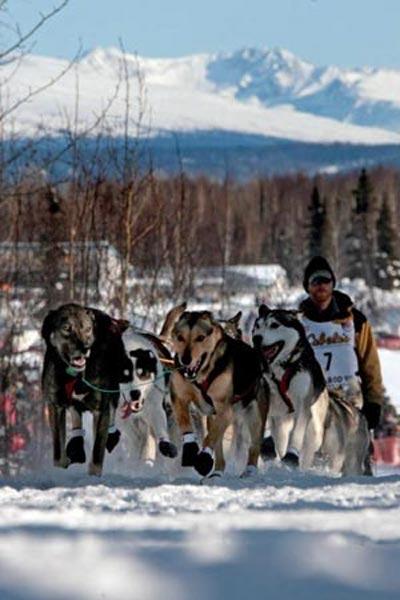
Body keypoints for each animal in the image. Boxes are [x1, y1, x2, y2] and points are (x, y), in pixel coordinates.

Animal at [41, 304, 128, 478]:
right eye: (66, 328)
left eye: (87, 329)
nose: (85, 347)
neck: (75, 375)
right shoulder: (55, 406)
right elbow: (58, 451)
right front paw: (60, 467)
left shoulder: (100, 409)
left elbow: (97, 450)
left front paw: (94, 475)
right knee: (76, 413)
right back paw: (76, 443)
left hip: (113, 391)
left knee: (111, 414)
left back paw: (111, 436)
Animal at [169, 310, 262, 478]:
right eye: (180, 337)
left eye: (200, 337)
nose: (185, 359)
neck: (201, 376)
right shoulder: (178, 398)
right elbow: (186, 425)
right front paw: (190, 450)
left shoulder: (225, 411)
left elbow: (210, 438)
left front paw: (203, 459)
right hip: (213, 417)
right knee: (218, 447)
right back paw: (217, 471)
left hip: (253, 415)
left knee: (254, 445)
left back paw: (249, 471)